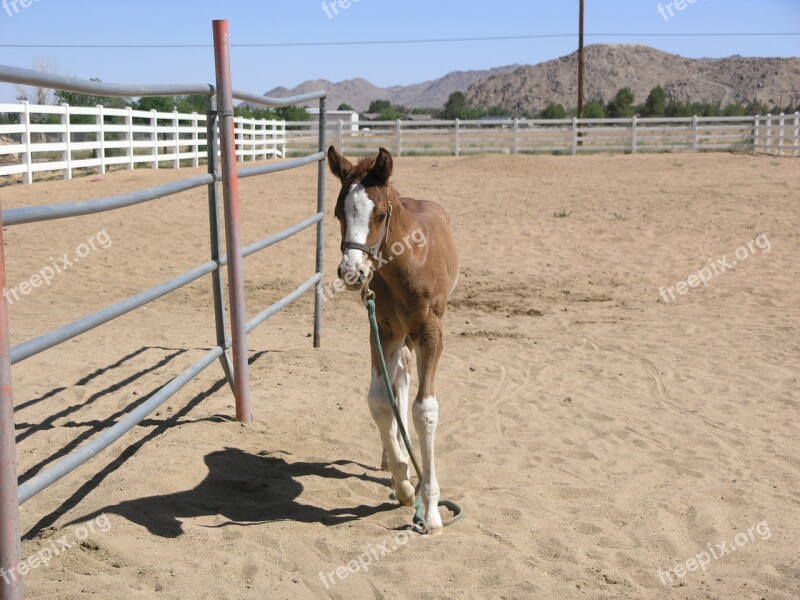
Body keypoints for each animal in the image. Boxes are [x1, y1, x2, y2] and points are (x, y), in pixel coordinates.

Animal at [328, 148, 460, 532]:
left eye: (382, 214)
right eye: (339, 212)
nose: (352, 272)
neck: (406, 262)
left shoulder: (431, 331)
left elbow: (425, 410)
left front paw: (430, 510)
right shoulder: (383, 329)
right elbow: (379, 400)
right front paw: (403, 482)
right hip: (399, 335)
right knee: (399, 377)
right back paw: (393, 456)